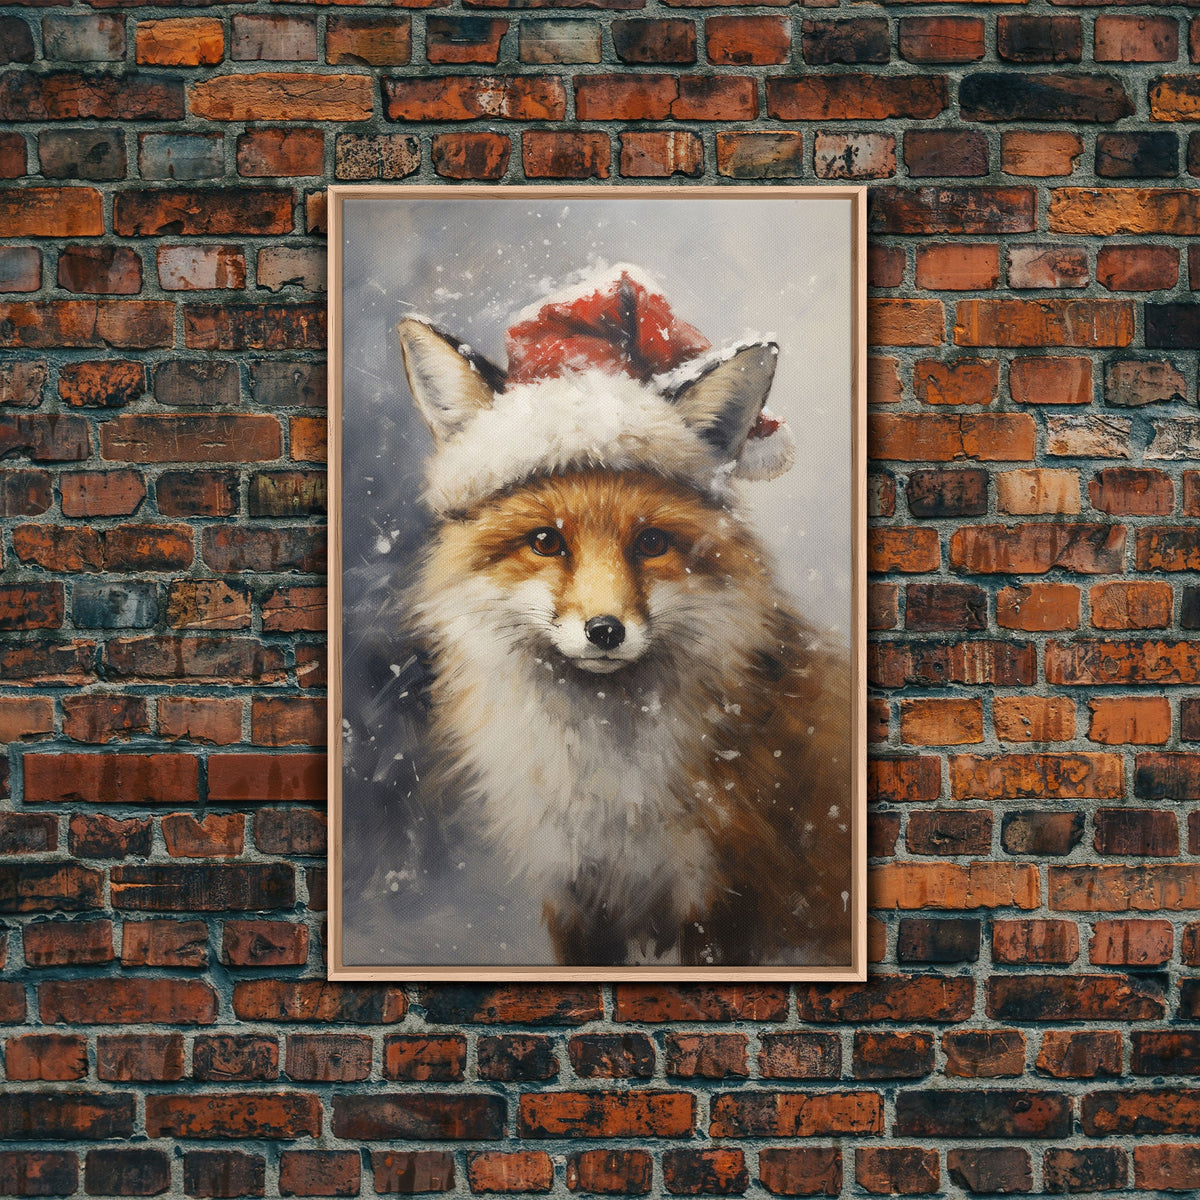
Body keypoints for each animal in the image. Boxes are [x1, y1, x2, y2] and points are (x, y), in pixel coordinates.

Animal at [395, 277, 852, 967]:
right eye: (545, 541)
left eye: (652, 542)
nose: (606, 631)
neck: (606, 793)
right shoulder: (574, 894)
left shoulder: (717, 896)